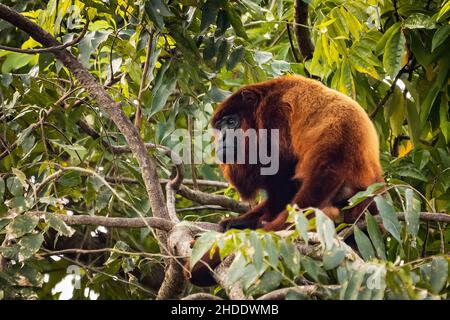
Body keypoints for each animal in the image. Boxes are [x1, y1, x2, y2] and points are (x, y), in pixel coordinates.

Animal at [186, 75, 384, 288]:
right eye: (220, 127)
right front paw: (237, 222)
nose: (221, 139)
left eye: (232, 122)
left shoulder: (275, 114)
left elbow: (282, 166)